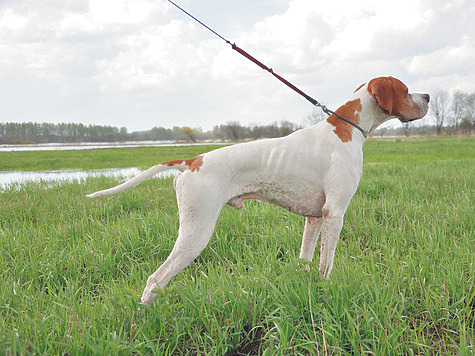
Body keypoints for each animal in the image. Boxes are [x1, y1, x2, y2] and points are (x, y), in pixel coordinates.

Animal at [86, 76, 432, 304]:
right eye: (405, 90)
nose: (428, 96)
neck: (349, 128)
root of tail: (193, 160)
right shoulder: (335, 214)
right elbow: (327, 264)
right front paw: (325, 290)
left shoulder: (315, 218)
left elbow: (306, 259)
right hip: (195, 233)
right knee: (154, 279)